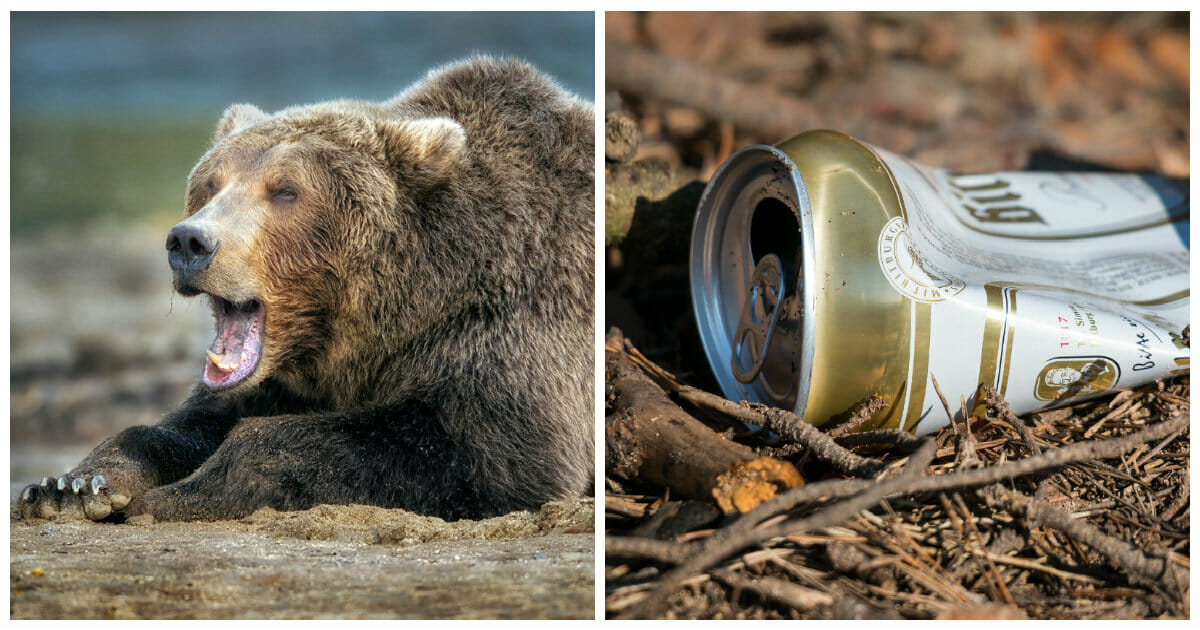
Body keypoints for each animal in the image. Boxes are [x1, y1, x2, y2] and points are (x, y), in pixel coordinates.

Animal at [16, 57, 597, 520]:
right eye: (211, 183)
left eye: (286, 190)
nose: (189, 241)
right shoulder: (282, 375)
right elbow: (192, 420)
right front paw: (72, 484)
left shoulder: (505, 326)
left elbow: (485, 451)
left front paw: (178, 494)